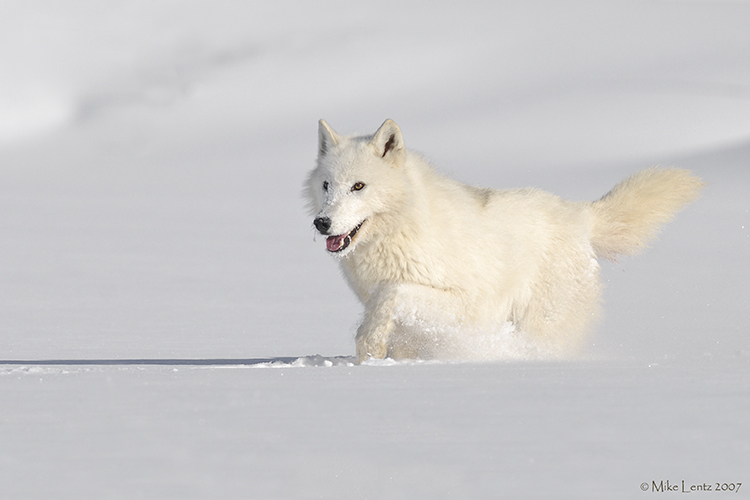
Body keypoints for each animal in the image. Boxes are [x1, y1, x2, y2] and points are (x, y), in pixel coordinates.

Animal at [304, 121, 704, 364]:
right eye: (327, 185)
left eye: (358, 186)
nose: (322, 223)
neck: (401, 229)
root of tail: (581, 215)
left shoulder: (465, 304)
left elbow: (391, 294)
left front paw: (368, 348)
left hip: (540, 324)